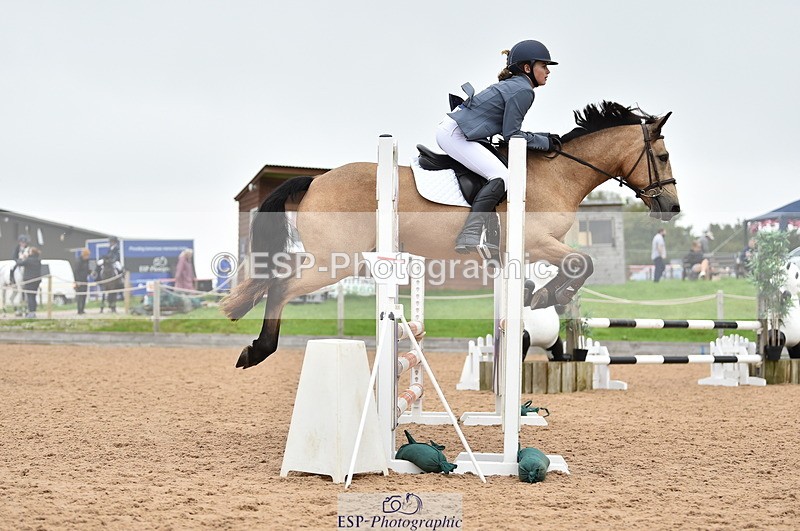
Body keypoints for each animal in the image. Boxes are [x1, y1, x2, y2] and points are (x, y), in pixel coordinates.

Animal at [221, 101, 681, 369]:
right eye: (661, 155)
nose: (672, 207)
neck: (558, 174)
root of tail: (316, 180)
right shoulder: (535, 243)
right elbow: (582, 261)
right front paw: (552, 295)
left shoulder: (531, 251)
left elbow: (573, 265)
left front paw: (543, 294)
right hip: (336, 262)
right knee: (281, 286)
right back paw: (257, 350)